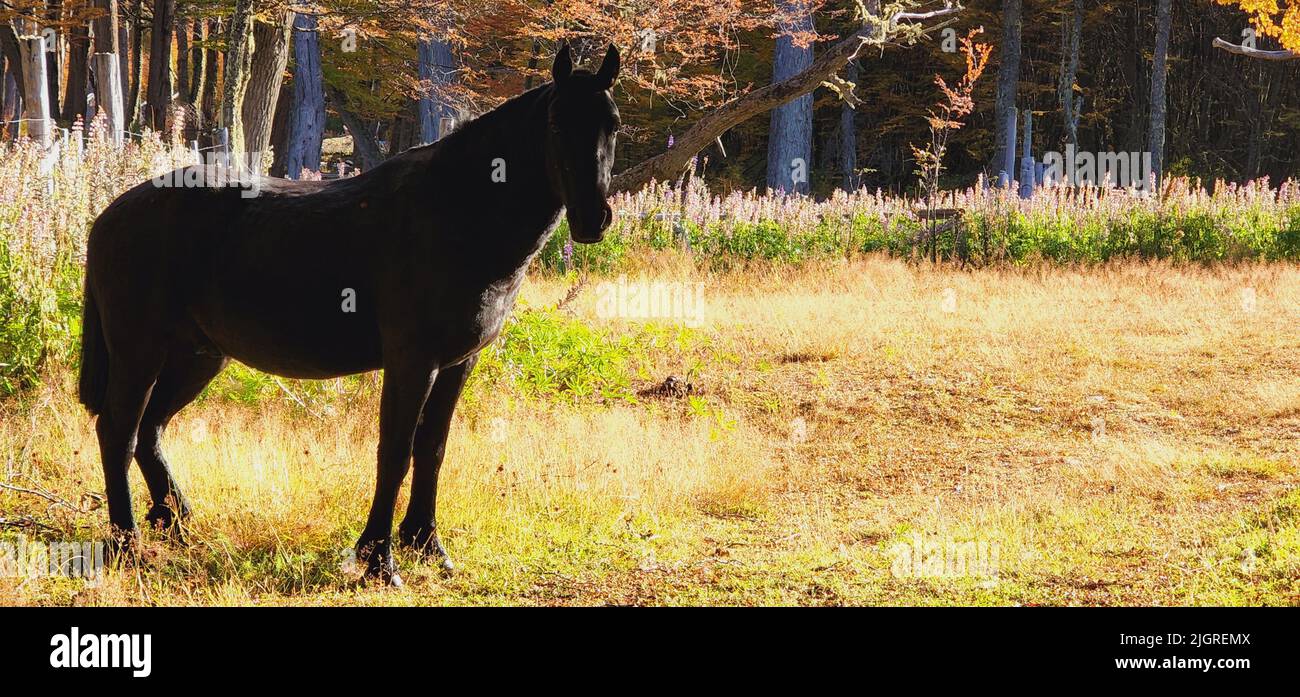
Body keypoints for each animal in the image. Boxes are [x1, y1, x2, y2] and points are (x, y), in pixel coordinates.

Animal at [78, 46, 621, 585]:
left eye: (612, 125)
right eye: (556, 124)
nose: (593, 219)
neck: (456, 211)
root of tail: (108, 216)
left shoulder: (456, 364)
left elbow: (432, 450)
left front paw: (427, 545)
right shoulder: (412, 362)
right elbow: (395, 453)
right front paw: (379, 559)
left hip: (197, 356)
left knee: (150, 429)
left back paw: (176, 520)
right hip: (140, 352)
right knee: (119, 430)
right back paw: (127, 544)